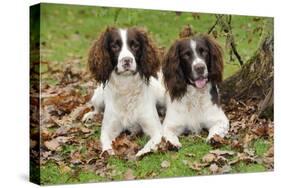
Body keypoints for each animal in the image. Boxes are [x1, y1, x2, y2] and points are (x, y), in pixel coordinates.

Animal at [82, 26, 166, 156]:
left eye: (135, 45)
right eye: (114, 46)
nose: (127, 60)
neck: (126, 86)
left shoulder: (156, 130)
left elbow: (149, 145)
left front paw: (140, 153)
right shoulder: (108, 130)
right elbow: (107, 146)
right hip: (98, 97)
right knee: (97, 109)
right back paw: (90, 115)